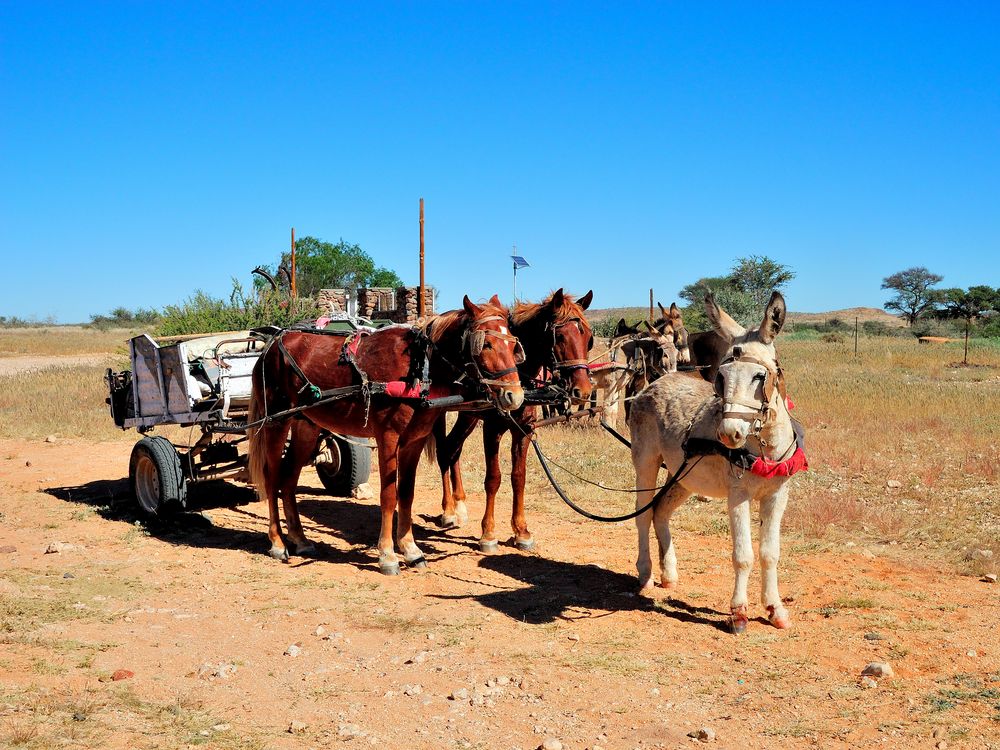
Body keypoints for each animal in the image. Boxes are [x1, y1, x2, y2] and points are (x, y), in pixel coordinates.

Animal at [248, 296, 524, 576]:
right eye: (486, 344)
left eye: (514, 344)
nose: (515, 396)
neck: (418, 370)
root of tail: (269, 349)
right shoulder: (388, 438)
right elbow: (389, 496)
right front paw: (387, 555)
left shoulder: (414, 441)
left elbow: (407, 494)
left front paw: (411, 549)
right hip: (276, 423)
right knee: (272, 478)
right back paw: (277, 542)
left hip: (306, 426)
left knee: (288, 479)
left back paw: (300, 539)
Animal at [432, 288, 592, 552]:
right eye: (559, 336)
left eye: (588, 337)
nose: (584, 390)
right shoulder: (492, 429)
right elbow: (493, 478)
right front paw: (488, 533)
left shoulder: (524, 430)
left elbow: (519, 477)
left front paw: (521, 531)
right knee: (444, 450)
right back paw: (448, 510)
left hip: (468, 416)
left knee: (453, 448)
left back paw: (460, 505)